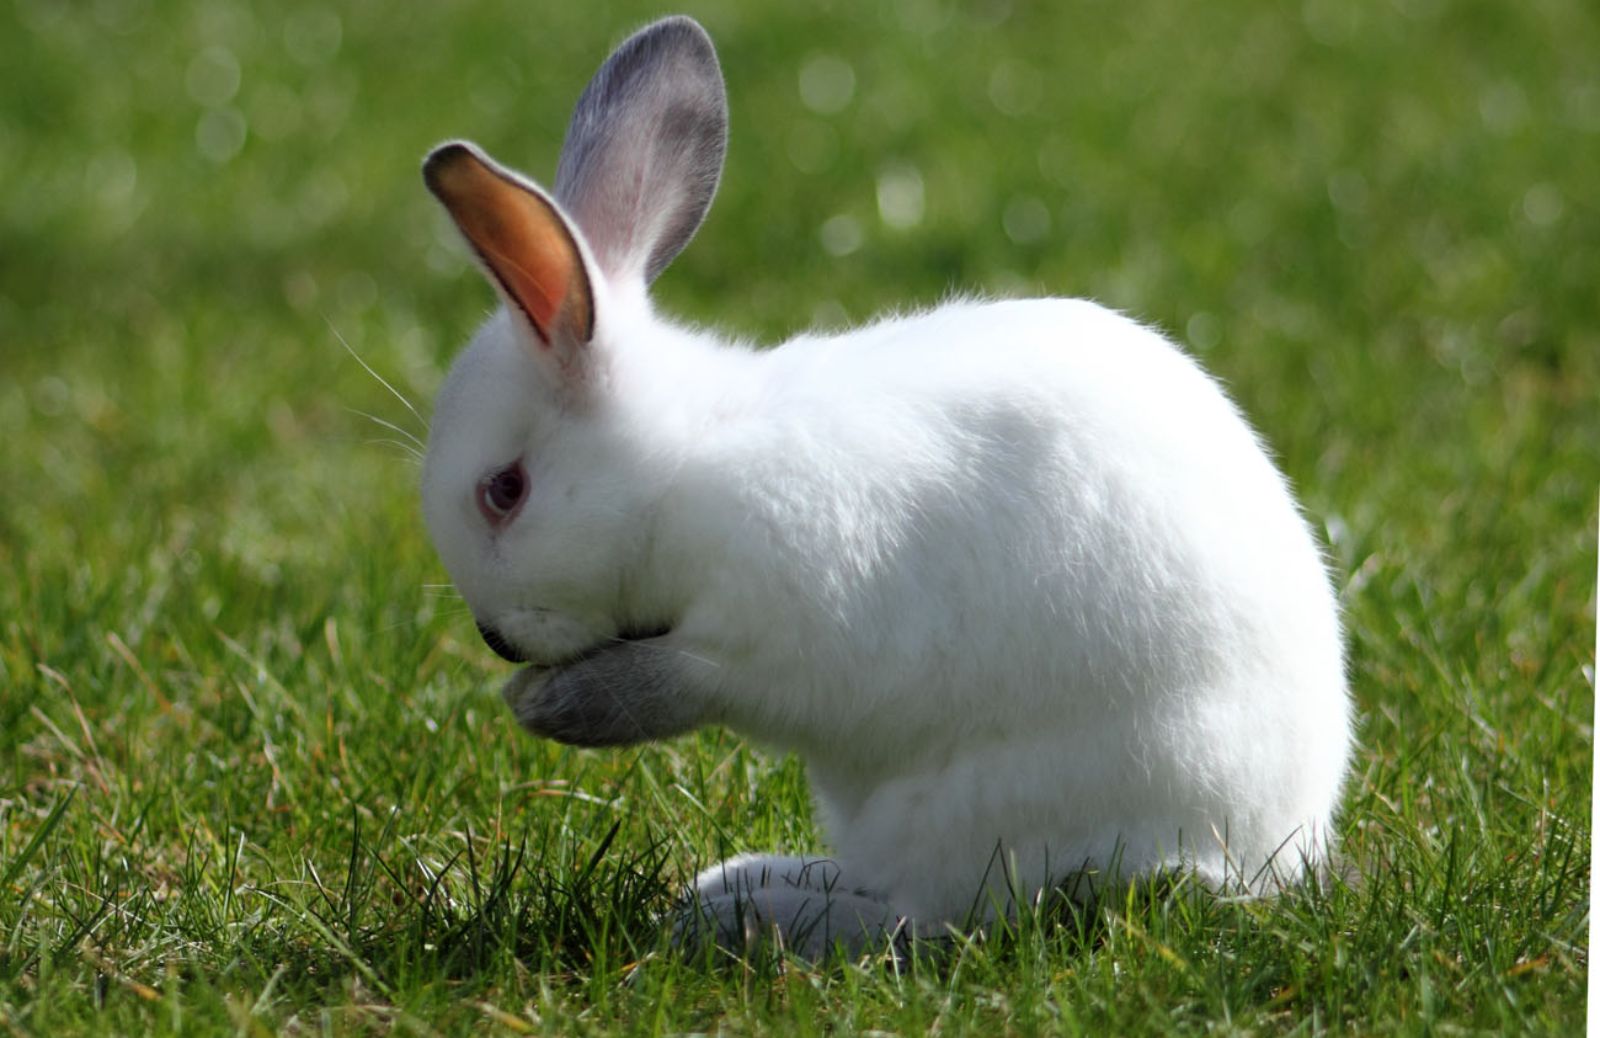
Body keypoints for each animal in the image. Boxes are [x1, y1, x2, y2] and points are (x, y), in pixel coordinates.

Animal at [416, 14, 1350, 953]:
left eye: (506, 490)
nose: (496, 641)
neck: (680, 470)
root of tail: (1269, 849)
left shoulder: (770, 635)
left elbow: (682, 679)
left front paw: (552, 705)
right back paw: (744, 882)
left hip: (973, 815)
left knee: (929, 919)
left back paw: (746, 915)